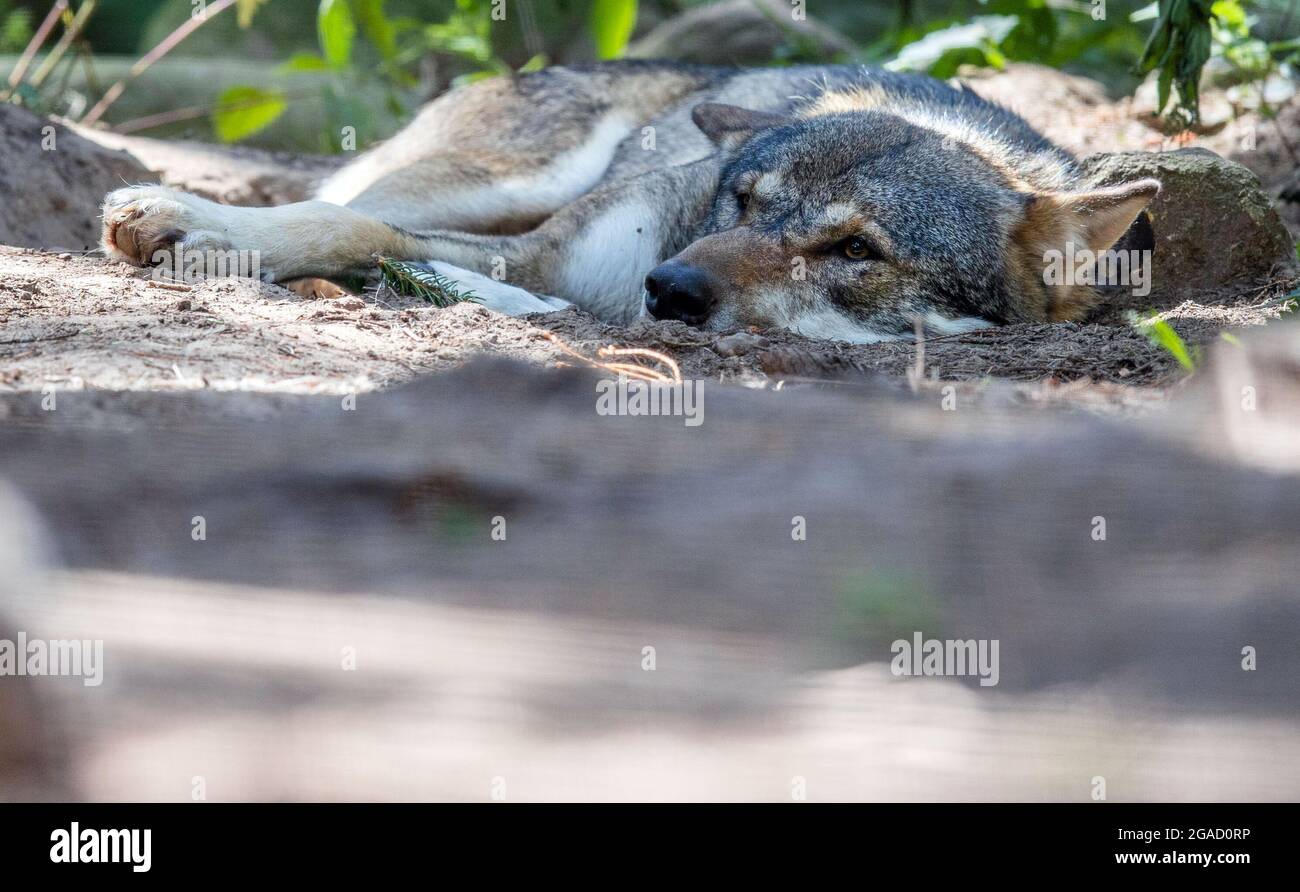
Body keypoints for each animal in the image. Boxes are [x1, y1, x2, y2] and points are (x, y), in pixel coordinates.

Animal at [101, 60, 1159, 345]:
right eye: (743, 203)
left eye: (858, 251)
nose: (670, 289)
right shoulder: (542, 250)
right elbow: (340, 220)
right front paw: (183, 217)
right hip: (504, 180)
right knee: (350, 196)